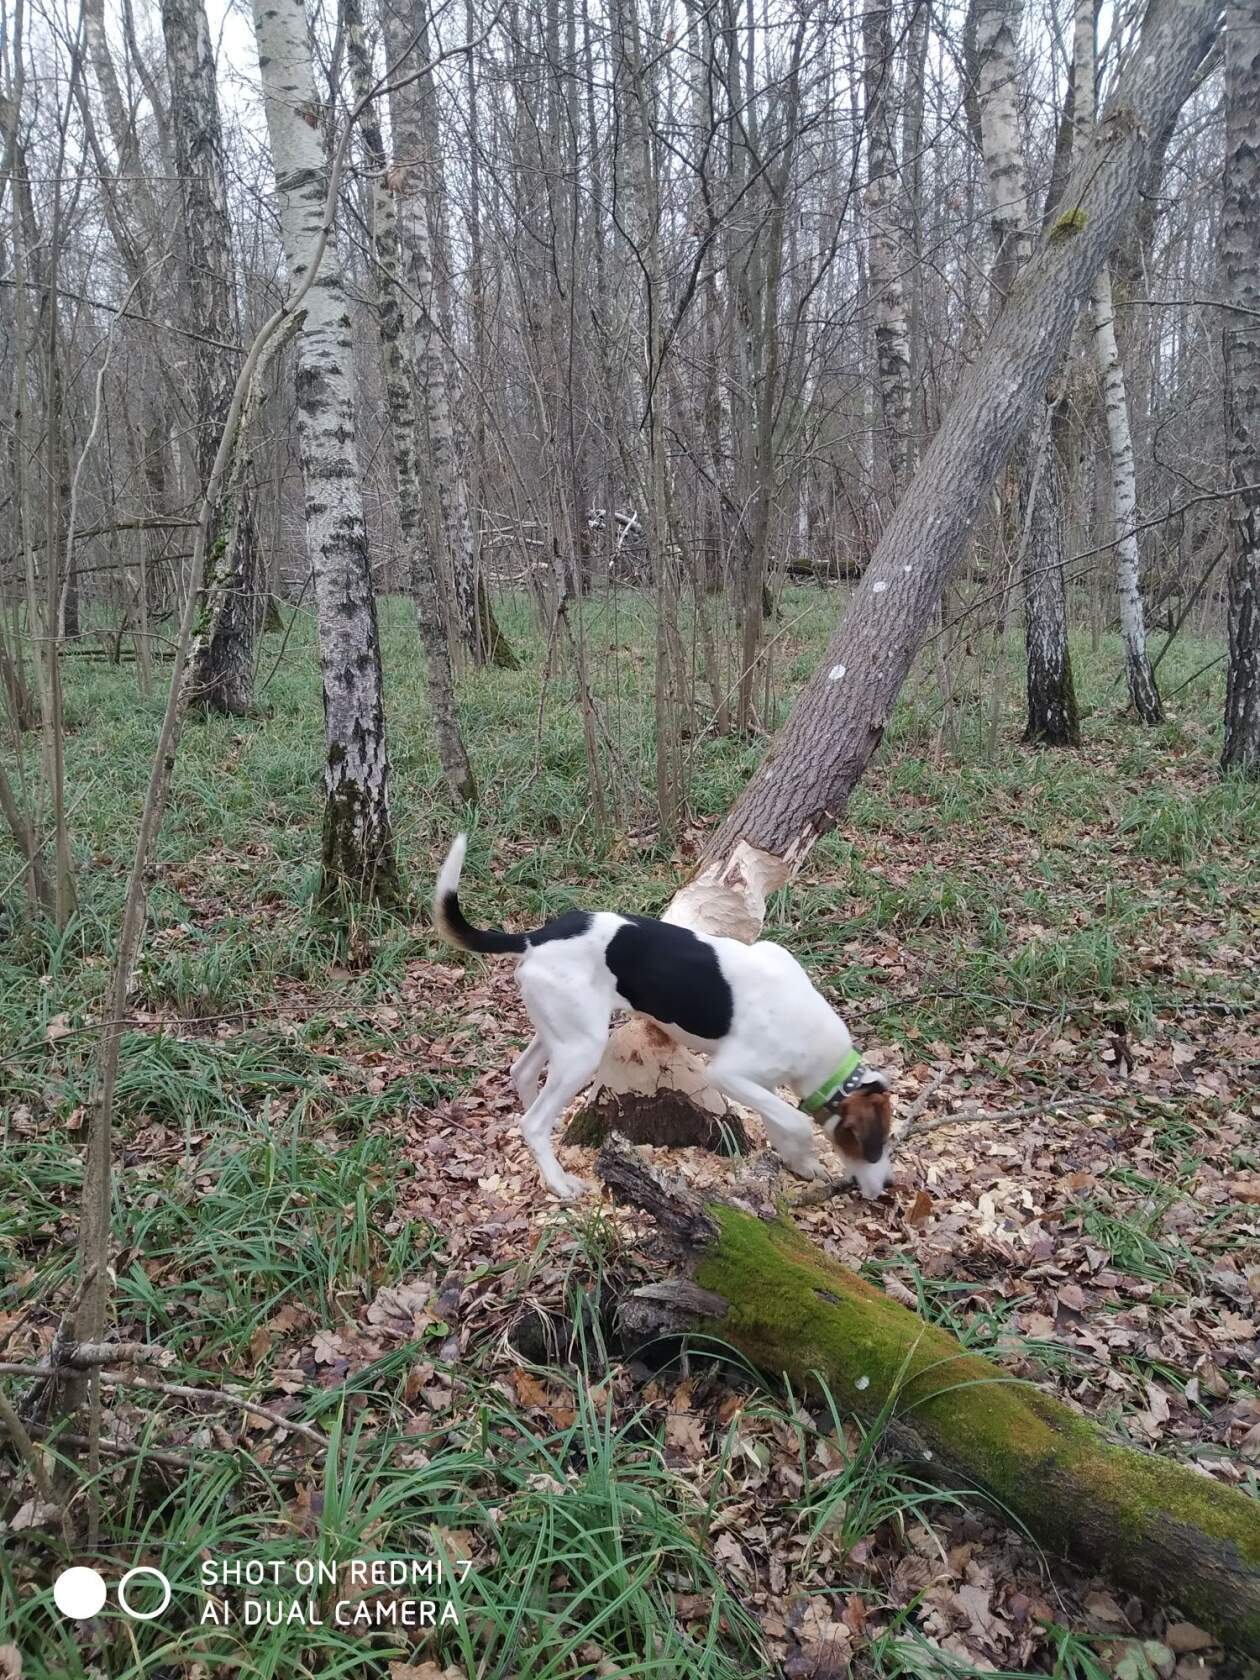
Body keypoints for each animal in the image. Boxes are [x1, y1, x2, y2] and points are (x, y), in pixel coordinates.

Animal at [436, 833, 900, 1202]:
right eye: (876, 1143)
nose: (889, 1187)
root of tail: (537, 937)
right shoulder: (728, 1074)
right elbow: (795, 1120)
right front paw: (803, 1152)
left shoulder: (762, 1085)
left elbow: (780, 1120)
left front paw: (798, 1161)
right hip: (582, 1051)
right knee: (531, 1123)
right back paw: (559, 1182)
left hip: (563, 1033)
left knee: (524, 1073)